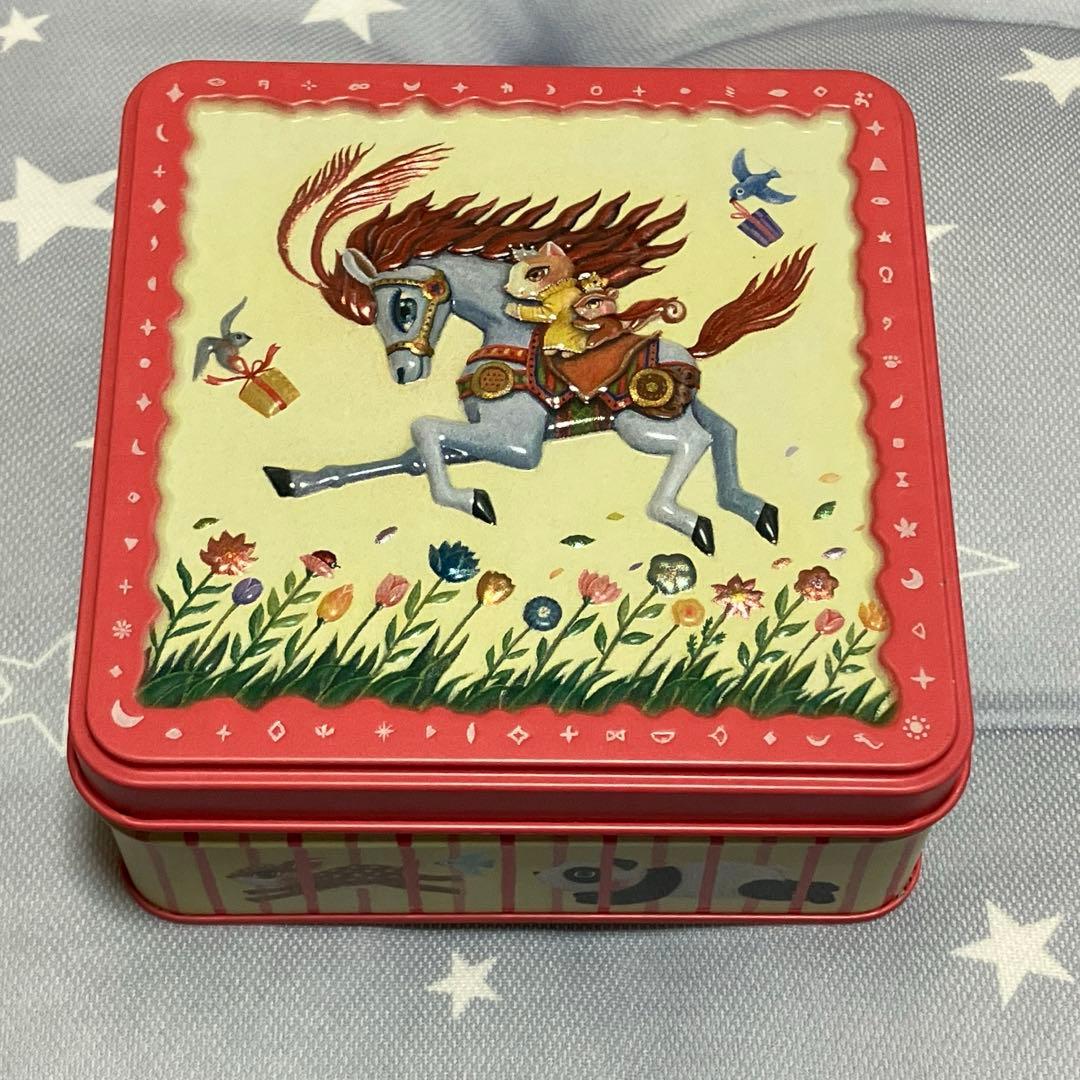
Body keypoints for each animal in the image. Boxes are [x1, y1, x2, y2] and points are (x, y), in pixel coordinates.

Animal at [262, 143, 813, 554]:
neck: (508, 336)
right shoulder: (485, 433)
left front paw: (471, 501)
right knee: (723, 432)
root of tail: (688, 351)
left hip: (641, 424)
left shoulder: (519, 445)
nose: (403, 372)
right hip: (686, 409)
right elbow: (411, 455)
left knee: (694, 443)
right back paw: (756, 510)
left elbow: (424, 430)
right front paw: (292, 479)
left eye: (402, 307)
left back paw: (687, 519)